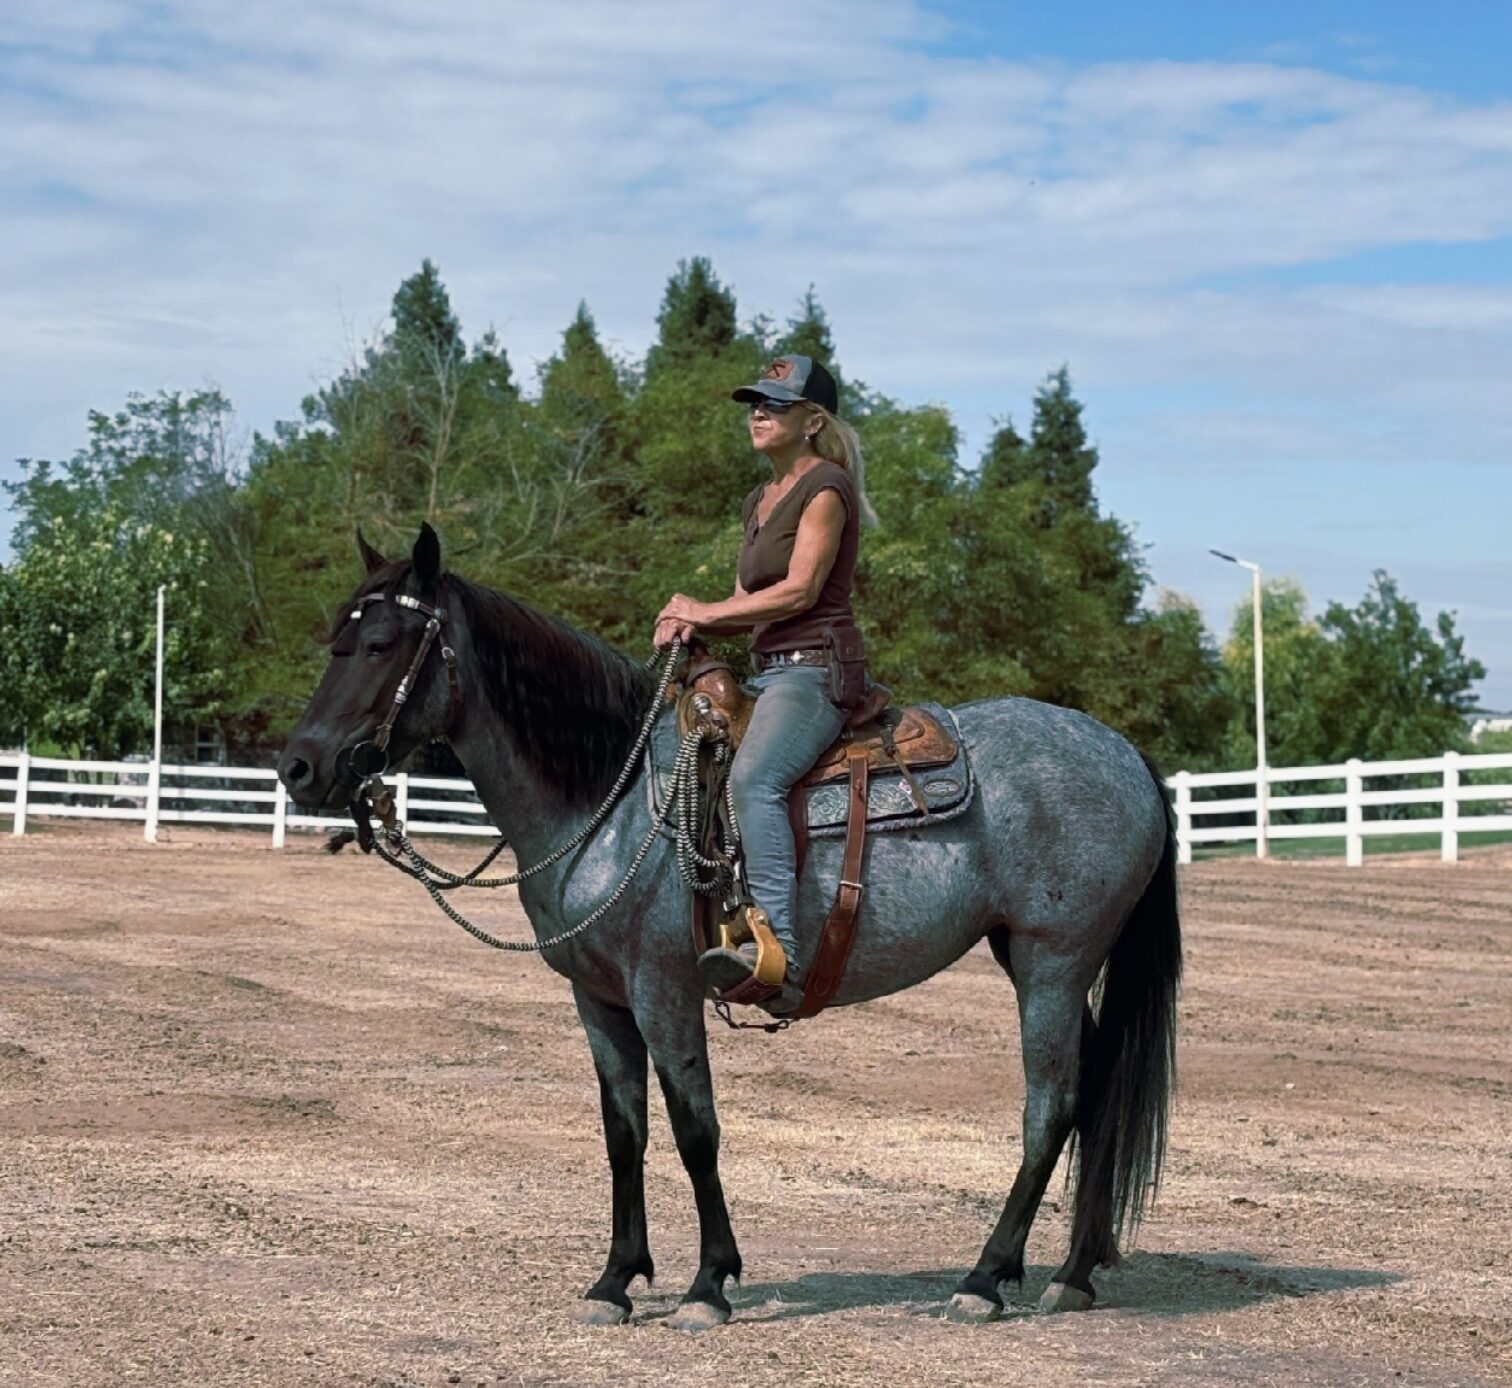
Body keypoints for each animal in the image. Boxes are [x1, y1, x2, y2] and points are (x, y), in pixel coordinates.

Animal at [277, 523, 1181, 1332]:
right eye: (335, 638)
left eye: (382, 643)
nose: (299, 767)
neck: (608, 793)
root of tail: (1127, 755)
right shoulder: (598, 1000)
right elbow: (625, 1132)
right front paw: (615, 1281)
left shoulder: (665, 990)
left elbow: (694, 1128)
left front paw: (708, 1285)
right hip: (1044, 961)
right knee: (1095, 1098)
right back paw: (1072, 1273)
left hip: (1052, 961)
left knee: (1053, 1104)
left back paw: (985, 1279)